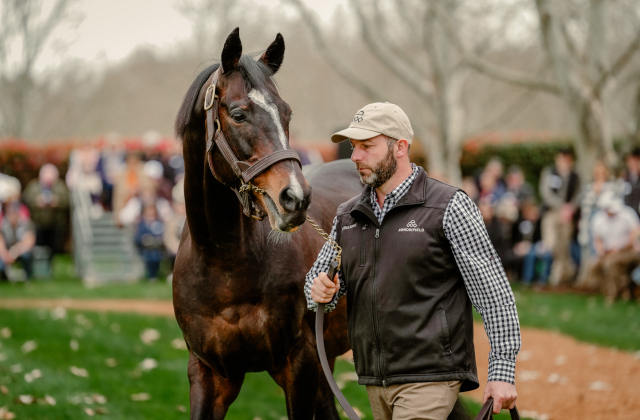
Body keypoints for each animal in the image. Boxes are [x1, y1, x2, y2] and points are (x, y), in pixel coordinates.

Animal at [172, 28, 468, 420]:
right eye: (238, 113)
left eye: (286, 113)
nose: (295, 198)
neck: (225, 264)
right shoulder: (210, 373)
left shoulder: (299, 366)